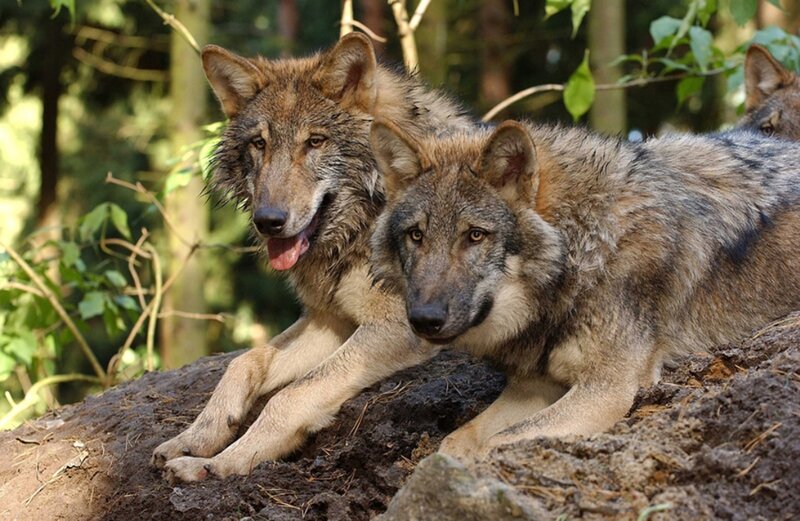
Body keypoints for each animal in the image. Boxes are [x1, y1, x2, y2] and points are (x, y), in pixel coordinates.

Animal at [150, 33, 473, 483]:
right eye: (260, 144)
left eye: (315, 142)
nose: (268, 221)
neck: (357, 231)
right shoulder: (332, 320)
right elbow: (247, 361)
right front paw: (196, 438)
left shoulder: (394, 326)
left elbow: (290, 395)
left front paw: (219, 464)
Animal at [369, 119, 800, 458]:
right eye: (416, 235)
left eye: (474, 235)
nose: (424, 320)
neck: (580, 254)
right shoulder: (533, 386)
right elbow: (456, 441)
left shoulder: (609, 388)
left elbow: (499, 443)